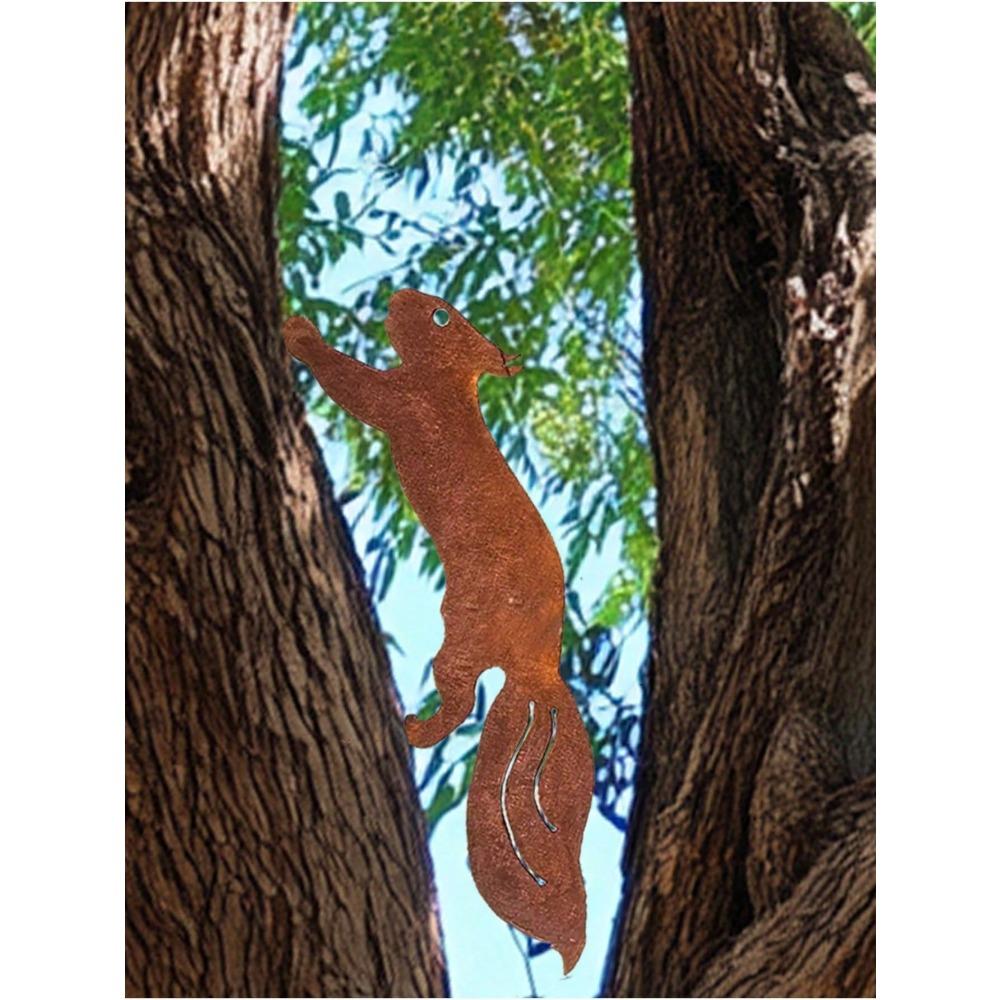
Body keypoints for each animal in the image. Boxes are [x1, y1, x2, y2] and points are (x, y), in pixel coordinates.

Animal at [283, 289, 592, 972]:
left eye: (441, 313)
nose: (396, 297)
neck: (450, 385)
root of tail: (539, 667)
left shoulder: (402, 400)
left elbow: (354, 385)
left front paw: (301, 334)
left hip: (461, 638)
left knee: (460, 701)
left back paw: (415, 728)